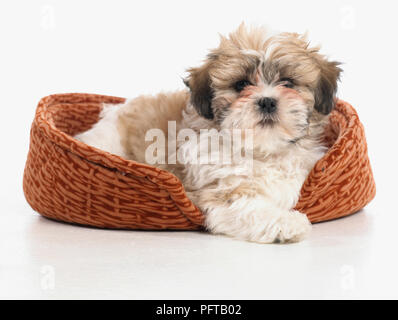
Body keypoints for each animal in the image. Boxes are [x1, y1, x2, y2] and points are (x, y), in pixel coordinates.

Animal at [75, 25, 342, 244]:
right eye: (241, 85)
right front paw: (286, 222)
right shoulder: (220, 195)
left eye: (288, 82)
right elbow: (249, 206)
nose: (267, 101)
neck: (261, 152)